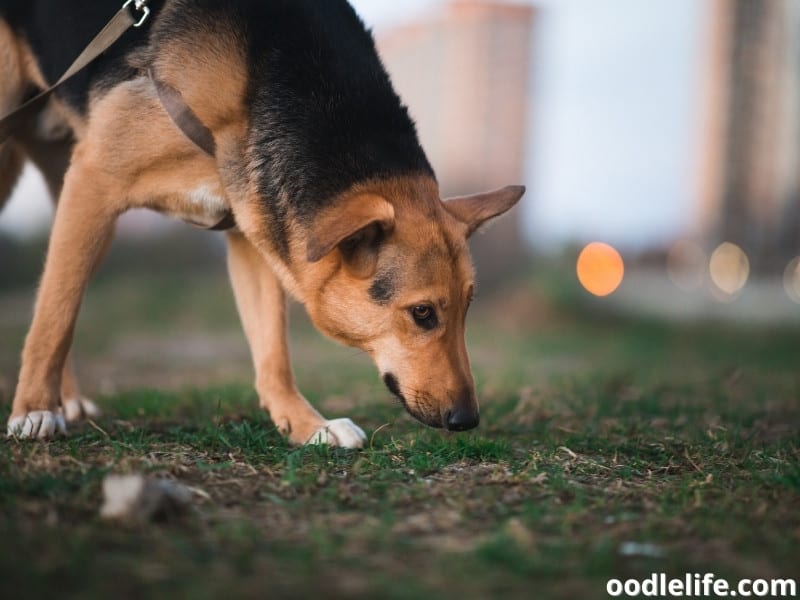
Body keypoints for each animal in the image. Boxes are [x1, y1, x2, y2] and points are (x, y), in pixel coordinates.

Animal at [1, 0, 524, 448]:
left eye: (468, 307)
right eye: (422, 313)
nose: (468, 419)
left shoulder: (254, 229)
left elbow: (273, 351)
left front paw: (307, 425)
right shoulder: (96, 181)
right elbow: (55, 316)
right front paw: (32, 411)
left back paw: (67, 400)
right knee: (58, 299)